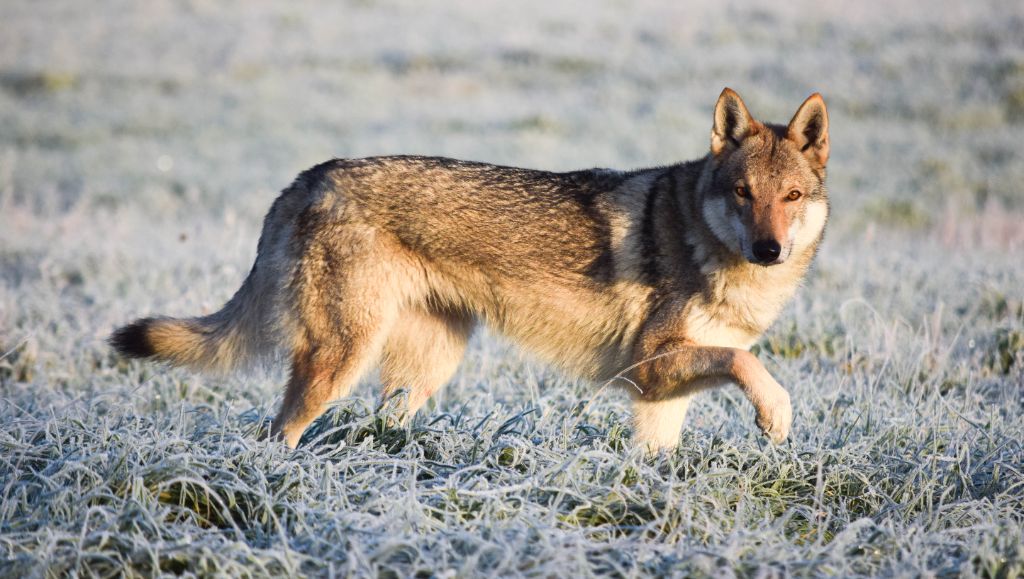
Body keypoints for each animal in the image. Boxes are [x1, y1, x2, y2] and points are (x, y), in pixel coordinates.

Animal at [112, 89, 831, 450]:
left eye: (791, 197)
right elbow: (749, 364)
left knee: (379, 425)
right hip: (340, 360)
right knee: (276, 432)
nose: (769, 249)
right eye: (743, 193)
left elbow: (662, 456)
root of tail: (312, 175)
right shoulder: (651, 364)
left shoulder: (658, 394)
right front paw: (778, 417)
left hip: (424, 369)